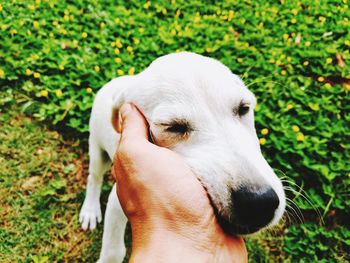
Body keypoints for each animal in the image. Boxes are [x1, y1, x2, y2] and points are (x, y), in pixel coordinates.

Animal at [80, 52, 288, 262]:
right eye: (174, 127)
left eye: (243, 108)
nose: (259, 203)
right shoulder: (117, 201)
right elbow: (113, 252)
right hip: (97, 150)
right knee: (94, 178)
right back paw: (90, 210)